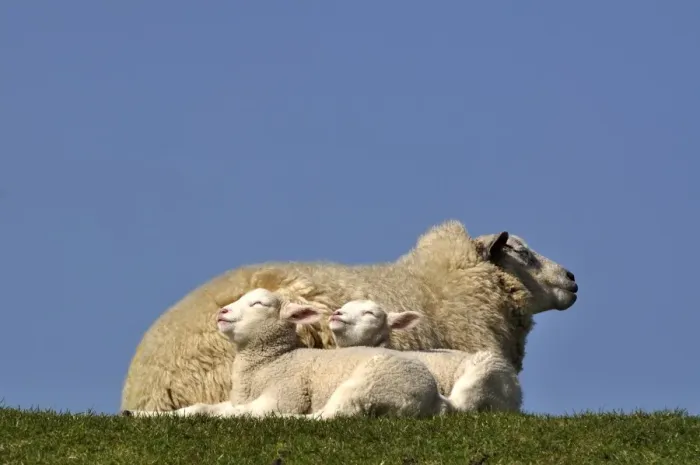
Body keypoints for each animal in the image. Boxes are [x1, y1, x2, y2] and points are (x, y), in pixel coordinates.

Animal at [122, 288, 452, 420]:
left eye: (259, 304)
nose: (222, 312)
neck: (273, 361)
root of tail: (436, 399)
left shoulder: (283, 393)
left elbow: (231, 413)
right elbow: (198, 408)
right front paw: (139, 414)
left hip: (368, 383)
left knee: (328, 416)